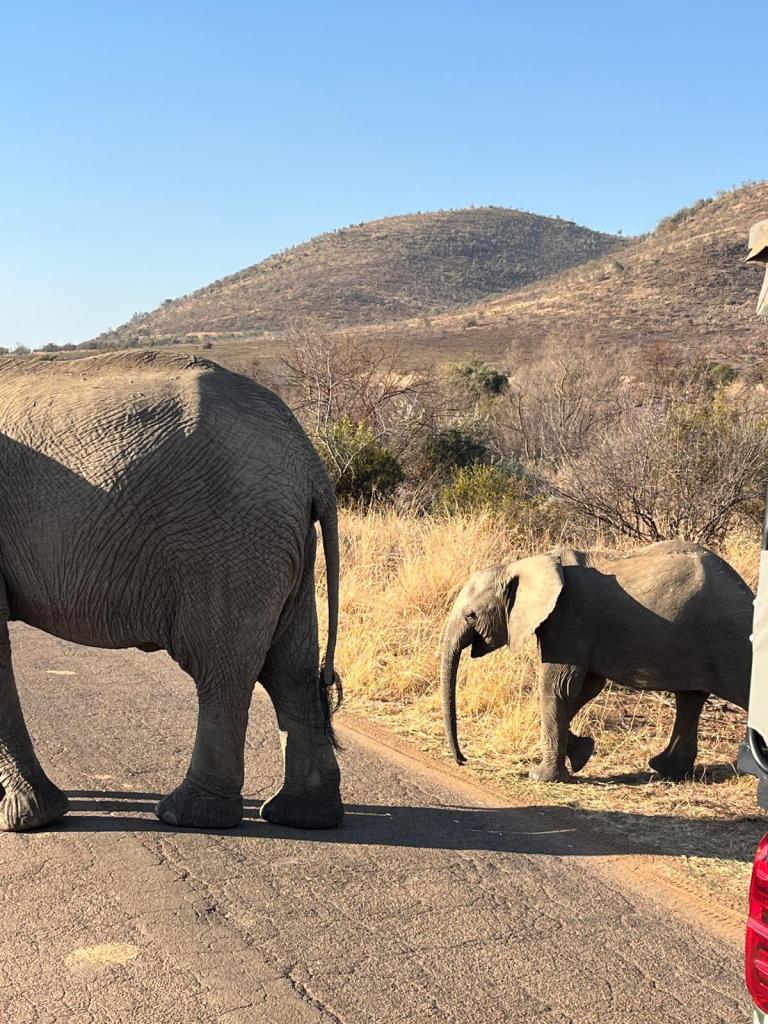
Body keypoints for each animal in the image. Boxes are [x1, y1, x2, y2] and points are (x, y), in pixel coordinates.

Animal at [0, 350, 342, 831]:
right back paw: (304, 816)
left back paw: (190, 814)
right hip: (285, 544)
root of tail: (311, 463)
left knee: (221, 667)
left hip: (230, 539)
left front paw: (28, 822)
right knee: (289, 668)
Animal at [441, 541, 752, 782]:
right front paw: (582, 753)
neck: (522, 564)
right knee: (690, 699)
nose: (463, 760)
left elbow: (557, 687)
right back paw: (666, 770)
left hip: (731, 640)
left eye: (471, 616)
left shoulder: (567, 620)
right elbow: (584, 688)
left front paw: (543, 777)